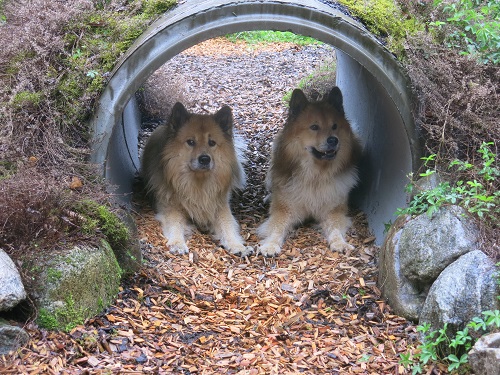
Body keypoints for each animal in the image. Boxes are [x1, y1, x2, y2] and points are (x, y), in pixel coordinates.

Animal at [141, 101, 252, 258]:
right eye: (191, 142)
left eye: (212, 142)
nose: (205, 159)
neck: (198, 183)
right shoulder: (171, 207)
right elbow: (175, 225)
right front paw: (177, 243)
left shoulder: (220, 207)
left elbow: (228, 227)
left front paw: (237, 245)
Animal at [256, 87, 362, 258]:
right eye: (314, 127)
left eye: (334, 126)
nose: (333, 140)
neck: (315, 176)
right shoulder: (284, 210)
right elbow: (277, 228)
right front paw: (270, 245)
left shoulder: (333, 211)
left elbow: (335, 228)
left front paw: (340, 243)